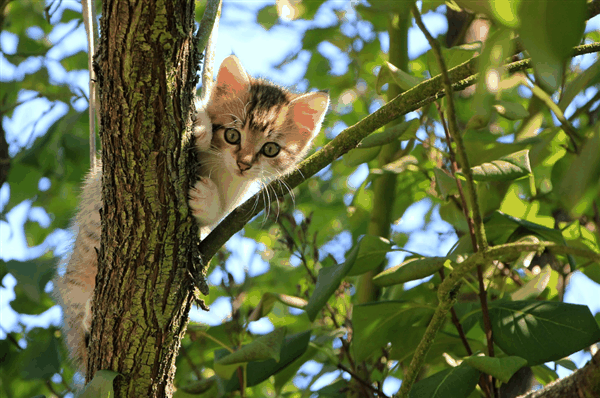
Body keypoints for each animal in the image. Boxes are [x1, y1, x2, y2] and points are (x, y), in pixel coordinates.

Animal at [54, 55, 330, 374]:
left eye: (270, 149)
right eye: (232, 134)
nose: (244, 163)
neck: (220, 166)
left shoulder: (237, 196)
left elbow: (217, 215)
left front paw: (206, 199)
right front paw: (200, 127)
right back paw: (87, 318)